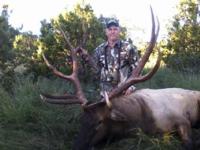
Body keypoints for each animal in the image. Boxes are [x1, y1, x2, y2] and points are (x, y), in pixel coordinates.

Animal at [39, 7, 200, 150]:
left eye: (99, 122)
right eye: (81, 120)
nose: (76, 147)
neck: (142, 119)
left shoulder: (181, 119)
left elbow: (188, 144)